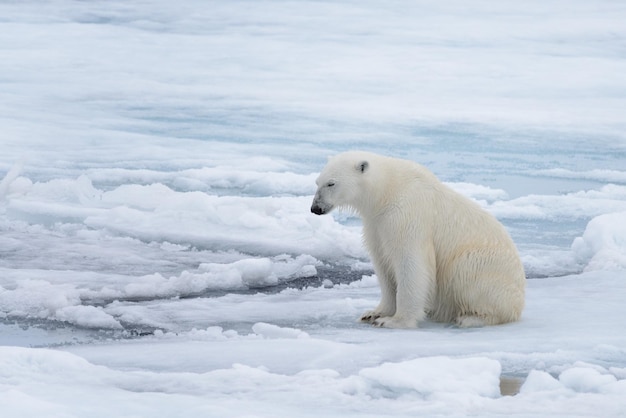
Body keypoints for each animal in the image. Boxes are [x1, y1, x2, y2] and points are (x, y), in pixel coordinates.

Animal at [310, 152, 524, 328]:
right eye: (317, 182)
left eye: (331, 183)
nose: (315, 208)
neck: (387, 191)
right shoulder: (376, 224)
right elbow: (383, 264)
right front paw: (373, 313)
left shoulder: (407, 214)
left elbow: (411, 262)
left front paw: (394, 321)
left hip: (485, 266)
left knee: (464, 272)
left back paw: (470, 318)